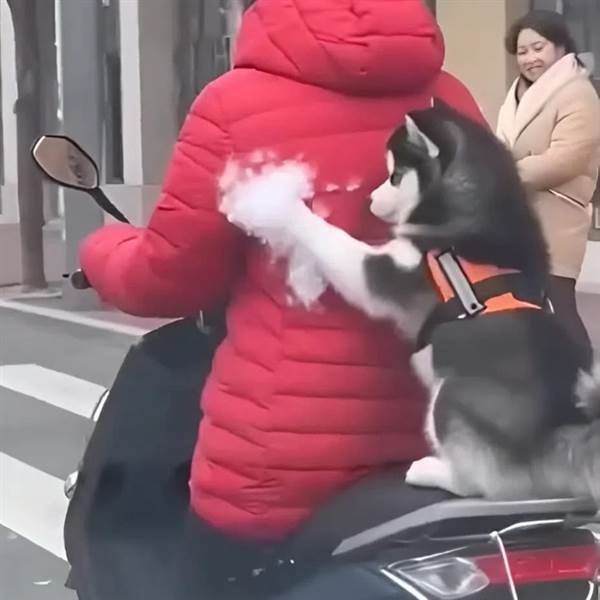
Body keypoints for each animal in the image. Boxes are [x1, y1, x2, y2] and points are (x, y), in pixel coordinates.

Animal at [219, 99, 600, 506]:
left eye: (396, 175)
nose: (369, 199)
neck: (471, 205)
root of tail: (558, 429)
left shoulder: (388, 270)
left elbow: (332, 239)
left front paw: (281, 206)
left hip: (450, 396)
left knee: (480, 482)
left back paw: (433, 471)